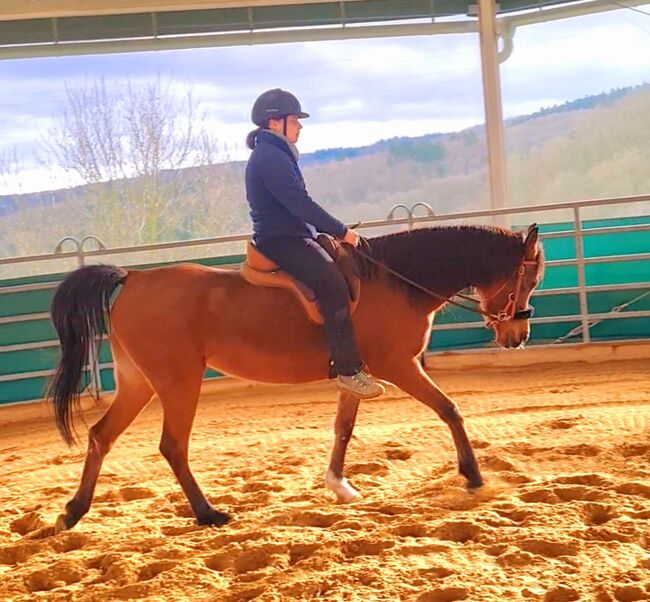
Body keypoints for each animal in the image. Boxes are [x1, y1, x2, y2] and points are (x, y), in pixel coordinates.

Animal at [46, 223, 540, 528]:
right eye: (531, 279)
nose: (518, 335)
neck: (396, 281)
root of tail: (132, 278)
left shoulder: (358, 374)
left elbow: (343, 427)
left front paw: (339, 485)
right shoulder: (399, 366)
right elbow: (449, 409)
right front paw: (472, 475)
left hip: (139, 383)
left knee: (100, 436)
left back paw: (73, 511)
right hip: (176, 382)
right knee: (172, 446)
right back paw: (208, 513)